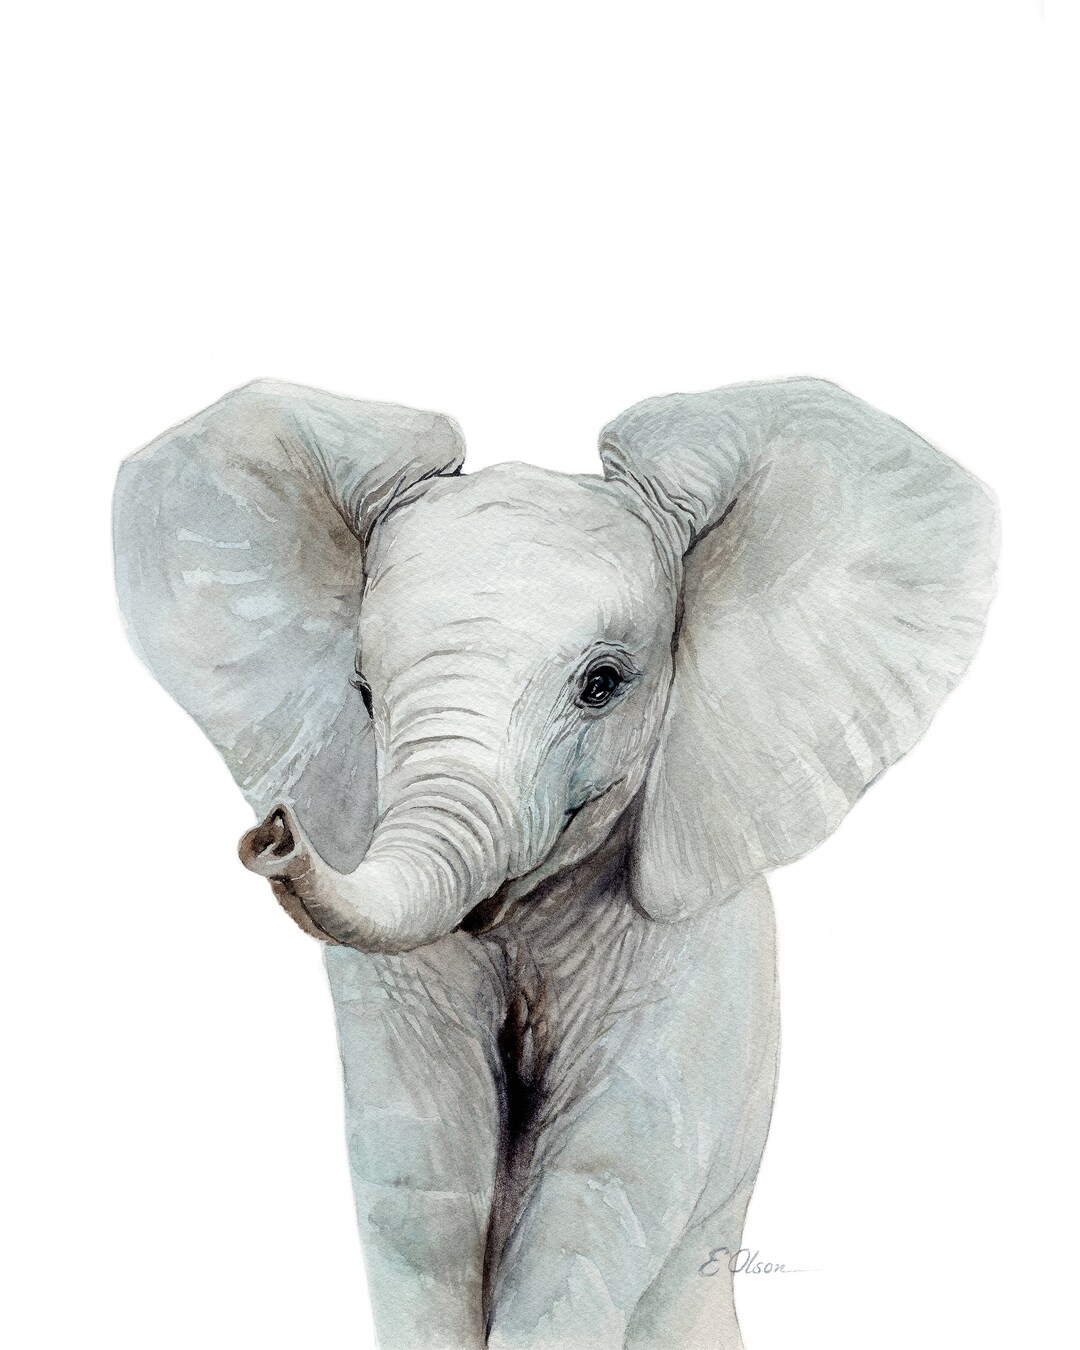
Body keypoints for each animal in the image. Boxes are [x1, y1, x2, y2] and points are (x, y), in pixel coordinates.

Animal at [112, 377, 997, 1349]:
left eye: (602, 684)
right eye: (364, 694)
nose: (274, 832)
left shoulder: (680, 955)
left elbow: (594, 1194)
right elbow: (420, 1185)